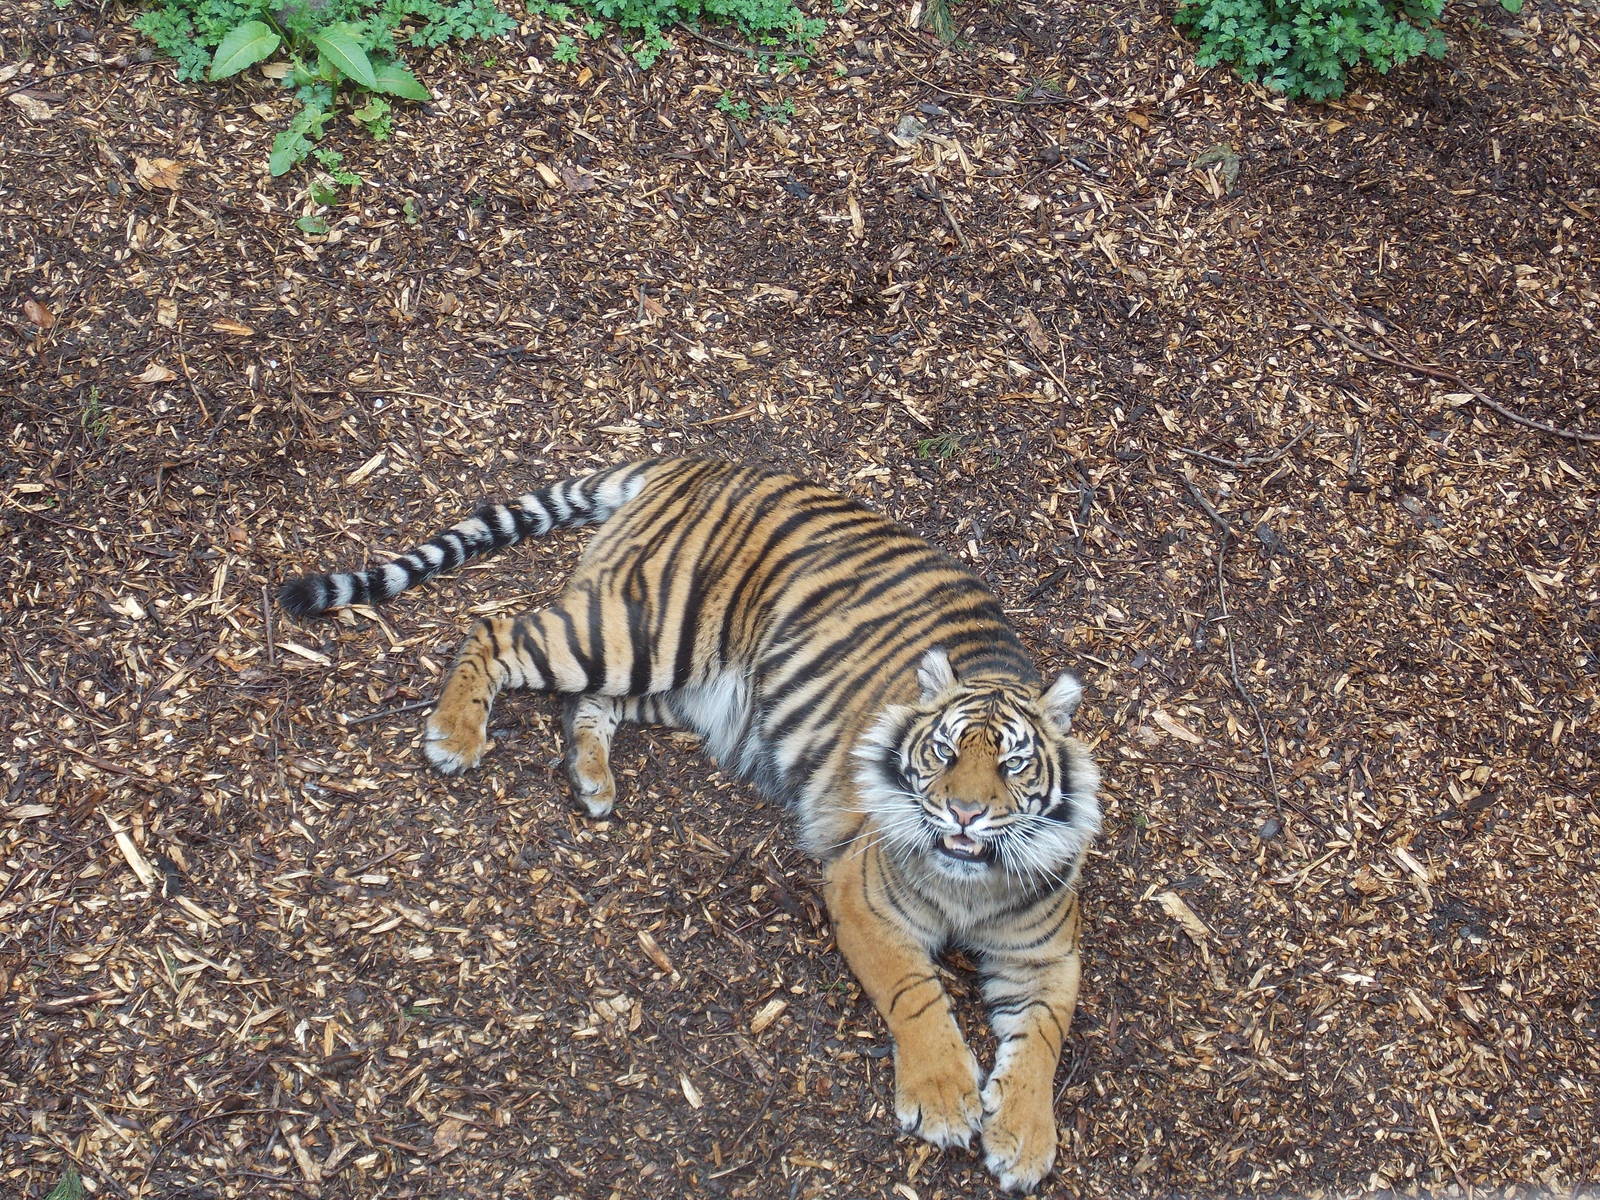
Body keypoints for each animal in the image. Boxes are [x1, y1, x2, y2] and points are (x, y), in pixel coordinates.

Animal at [279, 457, 1101, 1191]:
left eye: (1013, 764)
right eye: (942, 752)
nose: (964, 811)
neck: (973, 883)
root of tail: (692, 460)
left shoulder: (1047, 956)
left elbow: (1043, 1041)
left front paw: (1024, 1141)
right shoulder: (862, 896)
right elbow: (916, 996)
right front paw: (945, 1101)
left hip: (685, 682)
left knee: (584, 704)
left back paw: (592, 781)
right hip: (636, 631)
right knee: (492, 628)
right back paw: (453, 734)